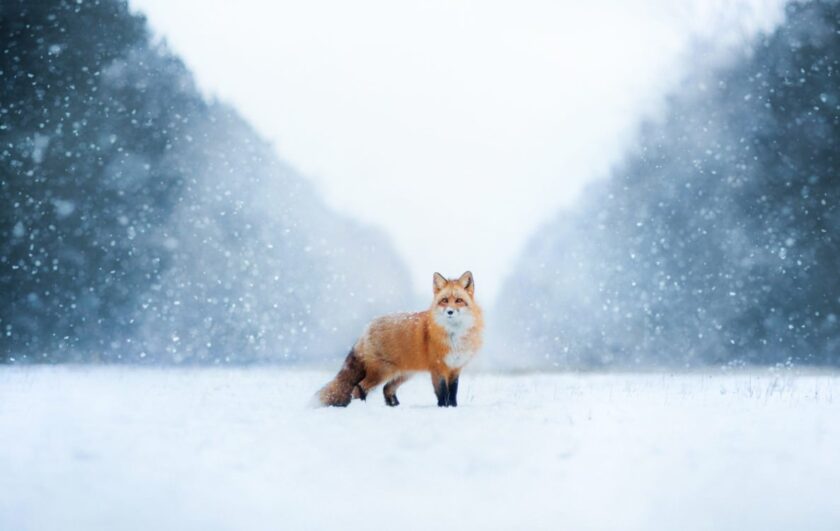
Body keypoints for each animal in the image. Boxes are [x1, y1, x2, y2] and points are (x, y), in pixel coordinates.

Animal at [316, 271, 483, 408]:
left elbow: (453, 393)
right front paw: (443, 408)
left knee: (386, 389)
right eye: (444, 300)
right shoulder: (438, 368)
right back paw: (363, 407)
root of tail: (367, 327)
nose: (449, 312)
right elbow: (442, 393)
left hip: (403, 374)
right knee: (359, 388)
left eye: (459, 300)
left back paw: (394, 406)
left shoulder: (455, 368)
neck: (454, 336)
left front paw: (453, 408)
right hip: (383, 372)